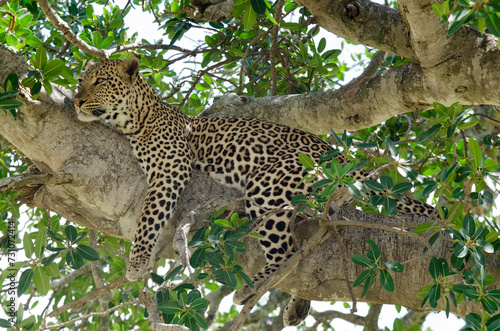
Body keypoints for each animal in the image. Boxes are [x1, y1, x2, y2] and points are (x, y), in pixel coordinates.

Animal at [74, 57, 438, 326]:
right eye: (80, 81)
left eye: (99, 82)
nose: (76, 100)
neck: (140, 117)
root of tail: (339, 156)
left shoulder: (171, 167)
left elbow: (150, 216)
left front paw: (136, 262)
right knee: (310, 240)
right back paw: (296, 307)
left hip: (267, 185)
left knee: (287, 251)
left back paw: (249, 291)